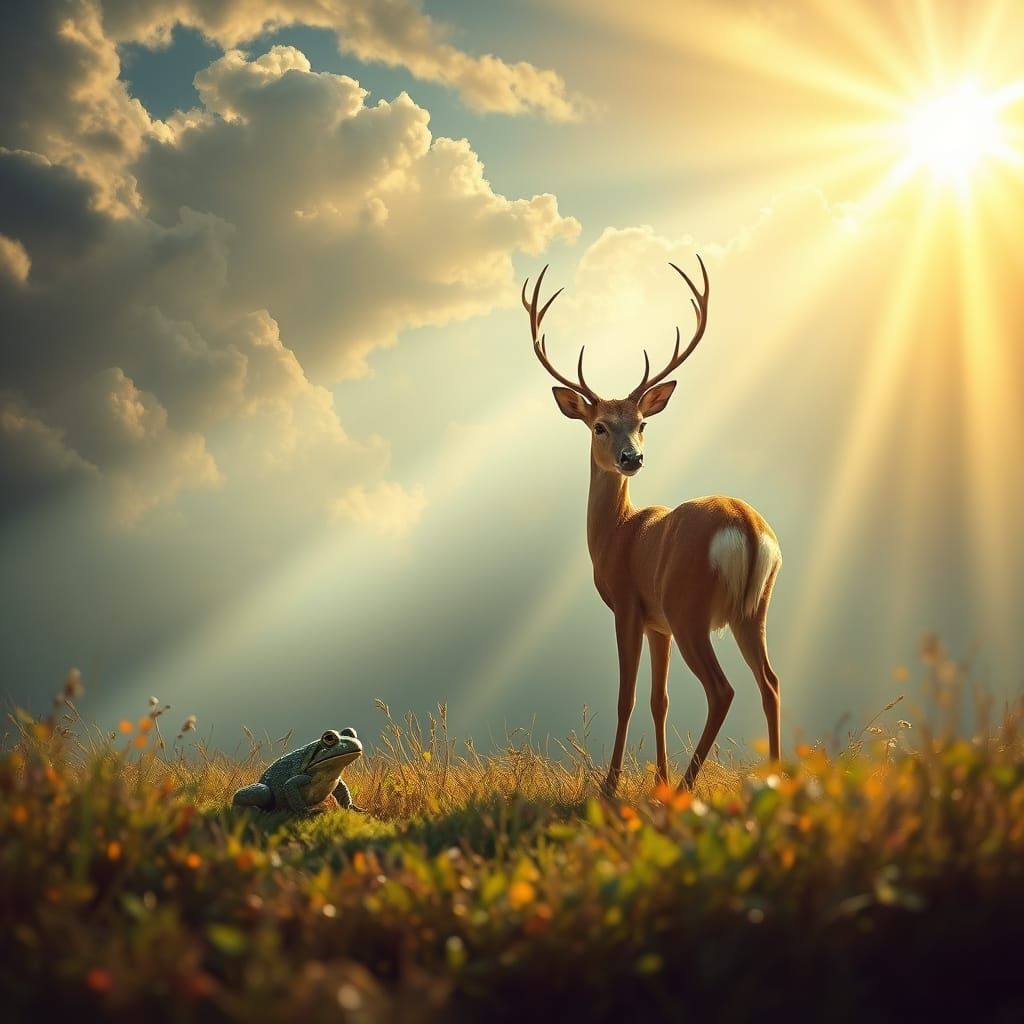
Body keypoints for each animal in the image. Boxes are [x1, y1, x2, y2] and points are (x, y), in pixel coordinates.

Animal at [520, 257, 782, 795]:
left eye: (642, 423)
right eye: (600, 425)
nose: (632, 458)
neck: (617, 534)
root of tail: (746, 525)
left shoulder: (628, 606)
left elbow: (626, 697)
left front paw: (611, 785)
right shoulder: (656, 623)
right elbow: (659, 701)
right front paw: (656, 779)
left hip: (690, 606)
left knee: (723, 690)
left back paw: (687, 787)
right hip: (753, 610)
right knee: (770, 683)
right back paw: (776, 778)